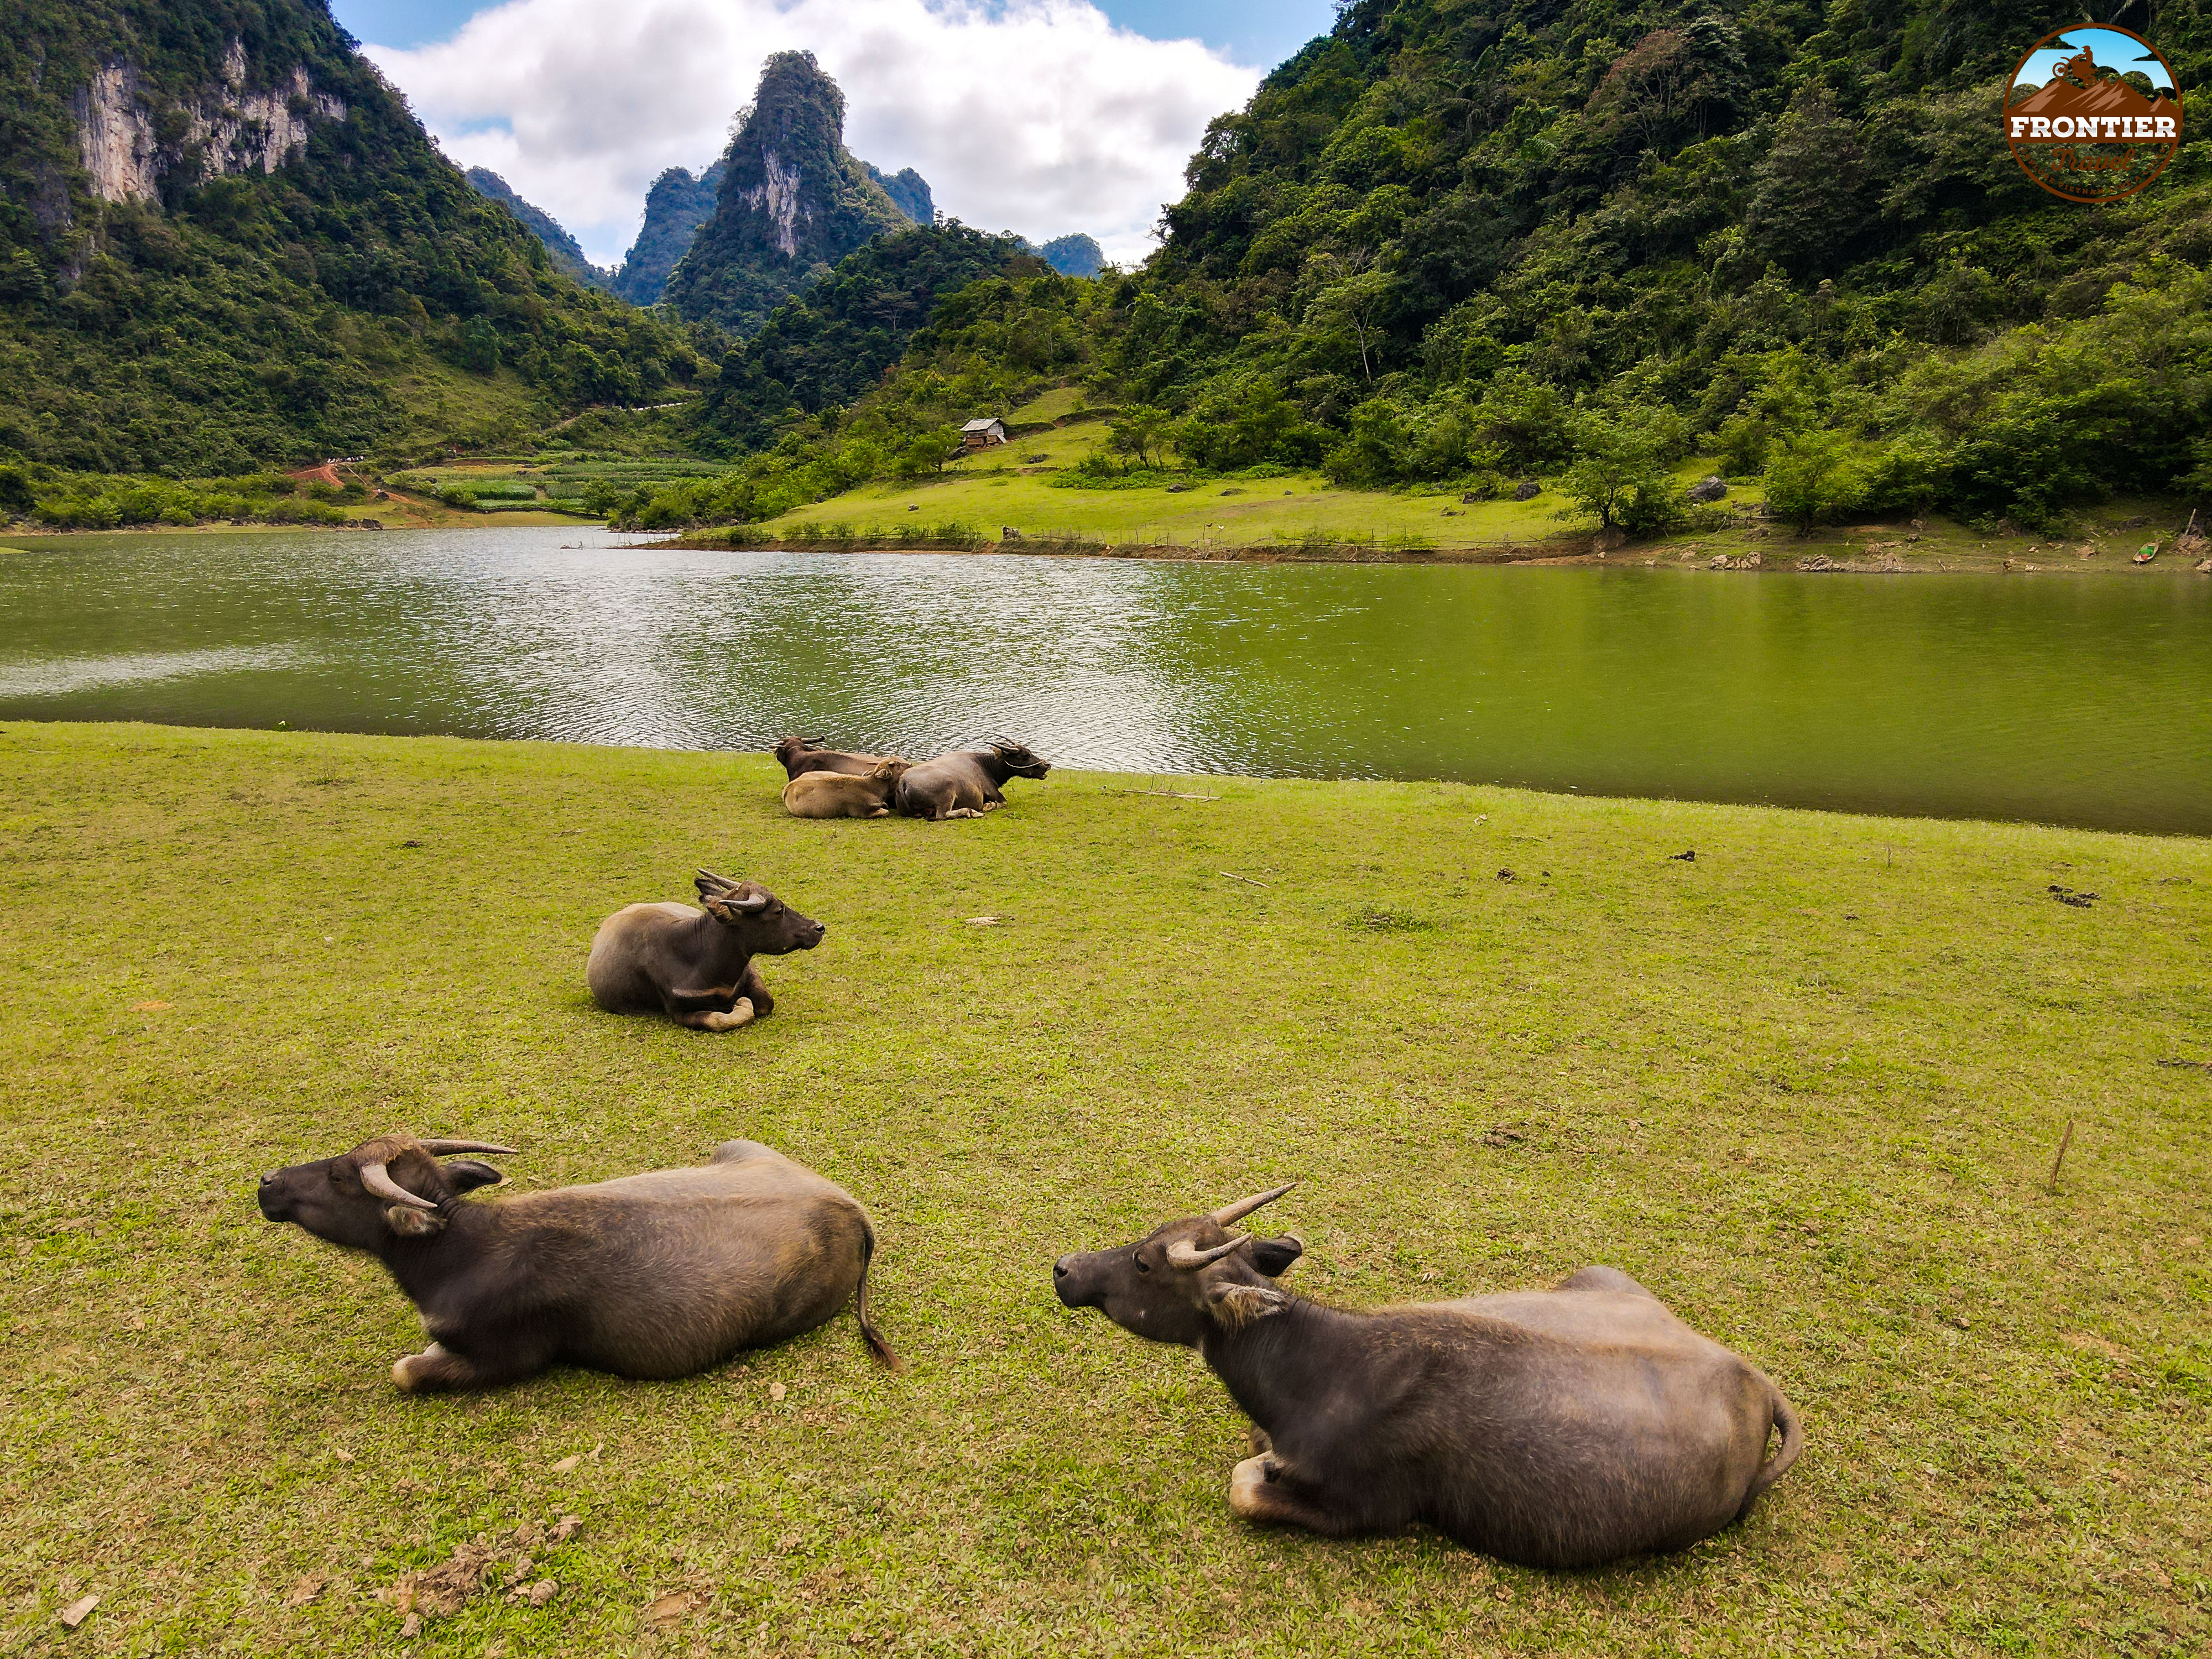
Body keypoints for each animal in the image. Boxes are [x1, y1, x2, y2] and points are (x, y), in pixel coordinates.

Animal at [249, 1133, 889, 1389]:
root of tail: (849, 1208)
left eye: (340, 1176)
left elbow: (406, 1370)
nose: (268, 1181)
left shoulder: (507, 1358)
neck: (460, 1252)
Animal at [584, 876, 827, 1035]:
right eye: (778, 910)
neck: (699, 957)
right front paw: (741, 1005)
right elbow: (720, 1020)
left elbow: (766, 1002)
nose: (818, 927)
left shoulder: (748, 973)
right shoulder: (678, 1012)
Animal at [783, 765, 911, 823]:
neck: (869, 786)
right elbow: (885, 812)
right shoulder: (862, 811)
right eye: (895, 764)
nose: (910, 765)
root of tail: (788, 788)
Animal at [894, 743, 1048, 823]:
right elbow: (1003, 802)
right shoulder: (993, 792)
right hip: (947, 795)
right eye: (1025, 755)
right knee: (942, 815)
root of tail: (904, 781)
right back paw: (971, 812)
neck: (985, 765)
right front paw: (988, 806)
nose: (1047, 765)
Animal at [1048, 1186, 1796, 1566]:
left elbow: (1245, 1485)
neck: (1317, 1368)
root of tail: (1756, 1383)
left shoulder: (1365, 1509)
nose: (1064, 1268)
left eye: (1144, 1262)